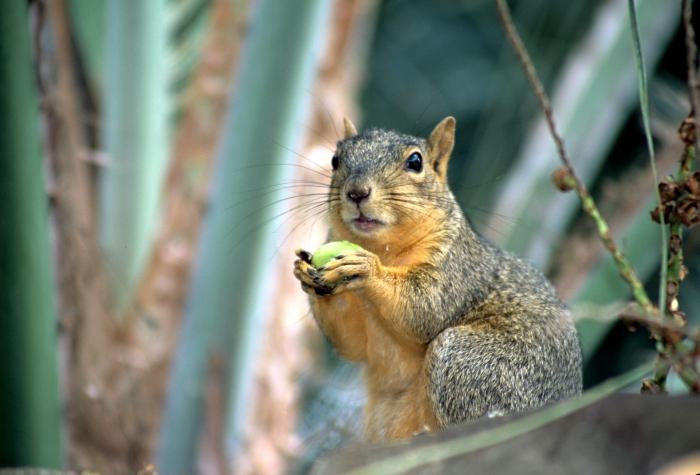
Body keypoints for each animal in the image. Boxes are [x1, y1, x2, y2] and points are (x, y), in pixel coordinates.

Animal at [292, 116, 584, 442]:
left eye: (415, 162)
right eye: (335, 159)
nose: (356, 192)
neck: (384, 250)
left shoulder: (457, 269)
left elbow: (425, 308)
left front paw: (367, 268)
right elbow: (351, 342)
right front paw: (305, 273)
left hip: (472, 365)